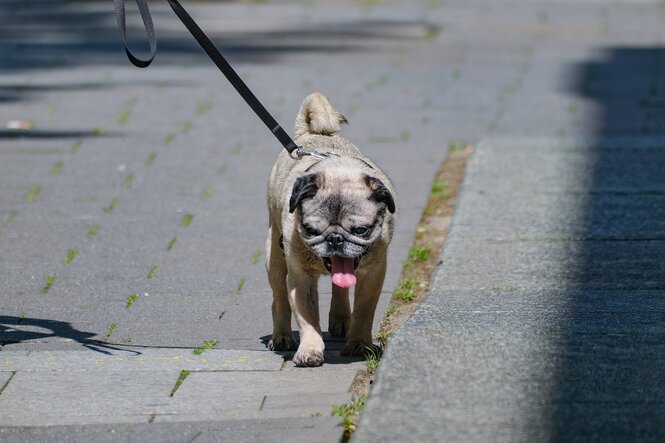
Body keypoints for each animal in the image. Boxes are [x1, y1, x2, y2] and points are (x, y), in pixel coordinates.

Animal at [264, 91, 394, 368]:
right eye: (310, 230)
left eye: (361, 230)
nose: (335, 238)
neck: (339, 172)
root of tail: (310, 134)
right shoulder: (299, 278)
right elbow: (307, 317)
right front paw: (310, 350)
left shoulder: (373, 273)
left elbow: (364, 309)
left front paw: (359, 344)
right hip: (275, 258)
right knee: (280, 299)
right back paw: (282, 336)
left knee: (340, 289)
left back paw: (342, 319)